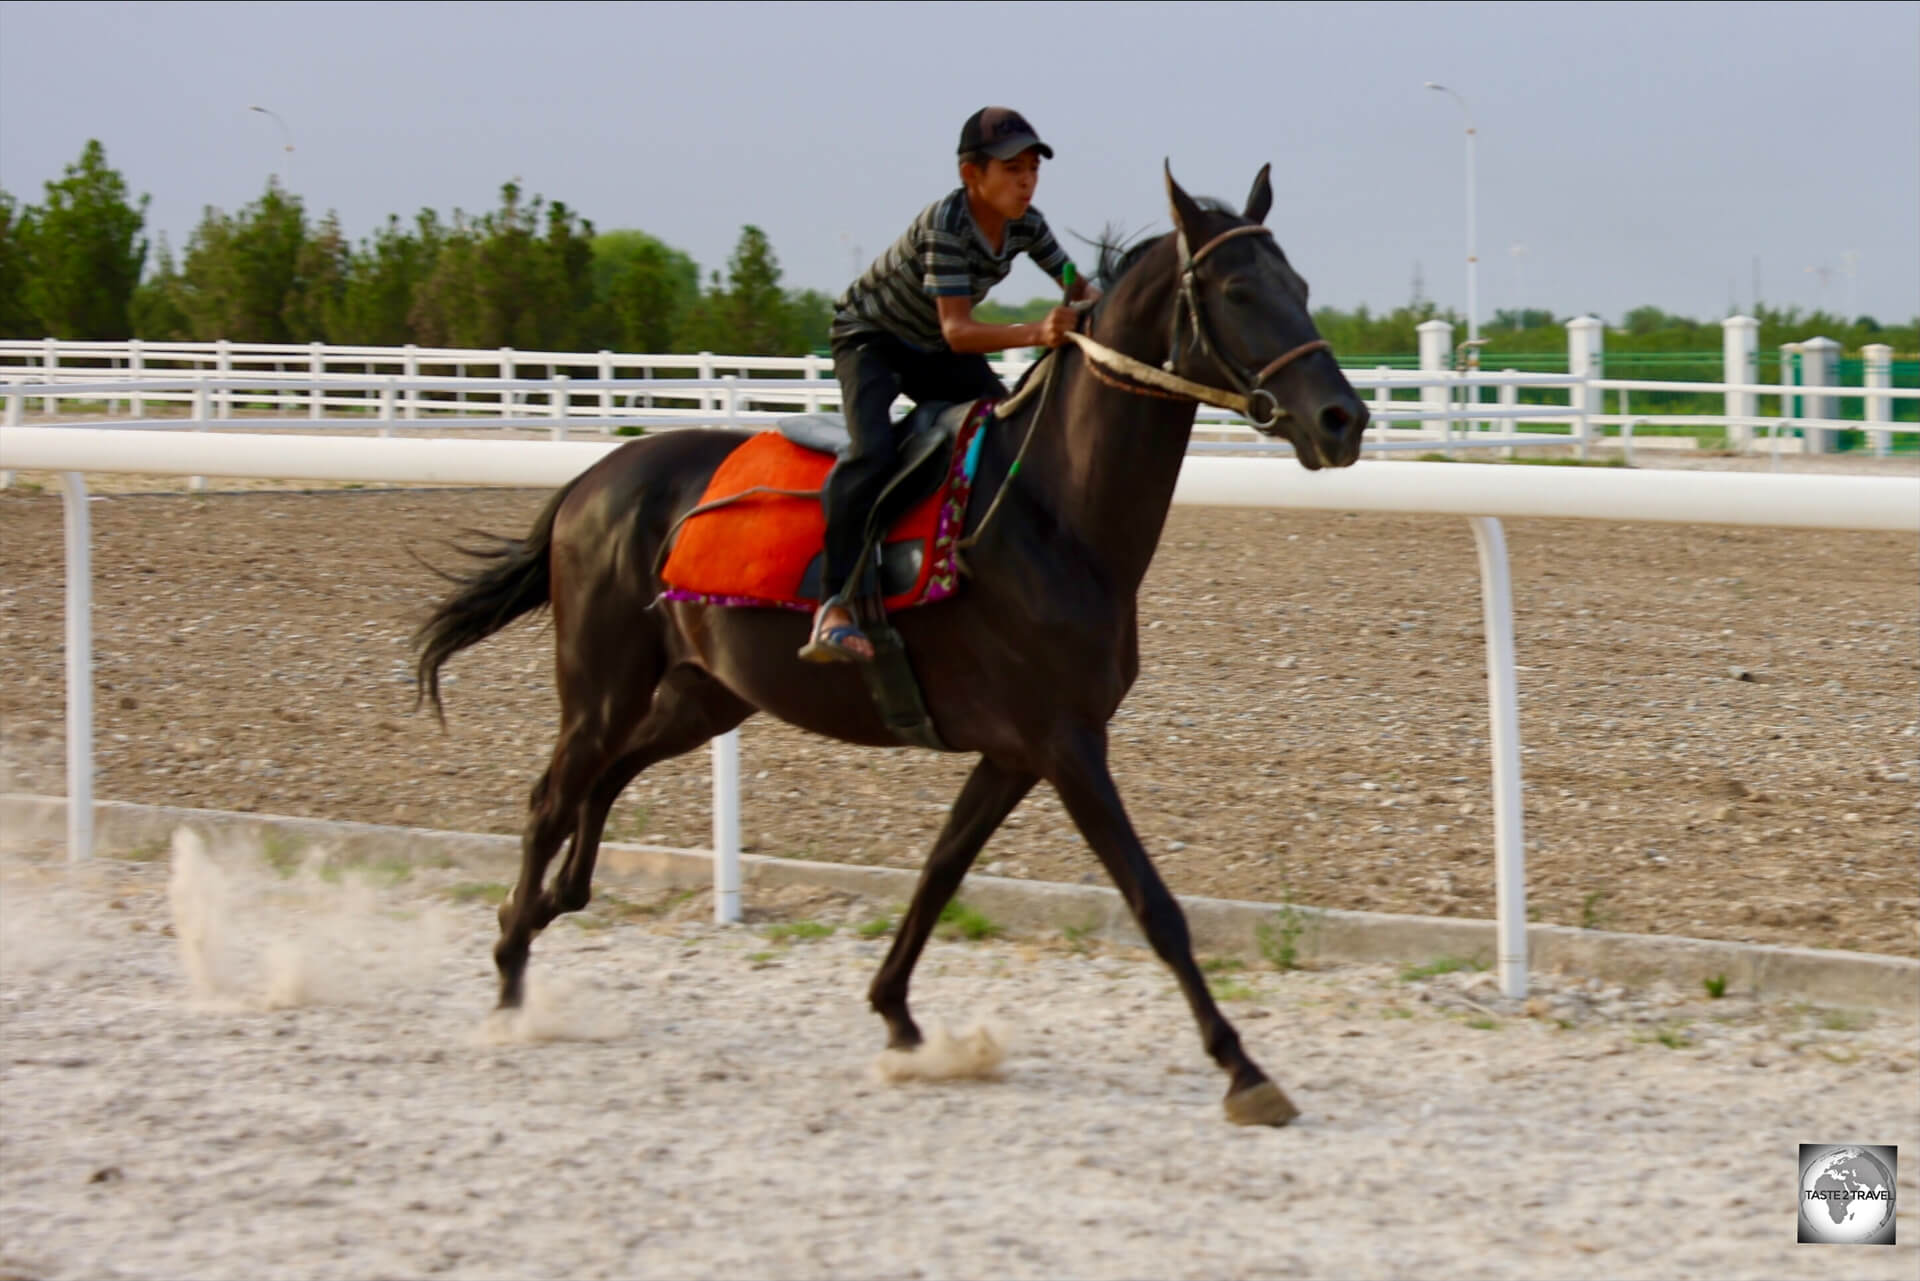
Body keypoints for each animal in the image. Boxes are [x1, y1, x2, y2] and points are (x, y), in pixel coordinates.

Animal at [414, 163, 1374, 1121]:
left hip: (702, 694)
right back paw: (510, 975)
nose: (1343, 419)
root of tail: (588, 479)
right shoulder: (1066, 742)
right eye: (1239, 291)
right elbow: (1152, 900)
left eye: (1302, 286)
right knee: (551, 795)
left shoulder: (1017, 750)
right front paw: (1244, 1068)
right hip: (601, 681)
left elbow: (942, 868)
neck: (1052, 513)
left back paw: (548, 904)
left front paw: (899, 1015)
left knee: (604, 781)